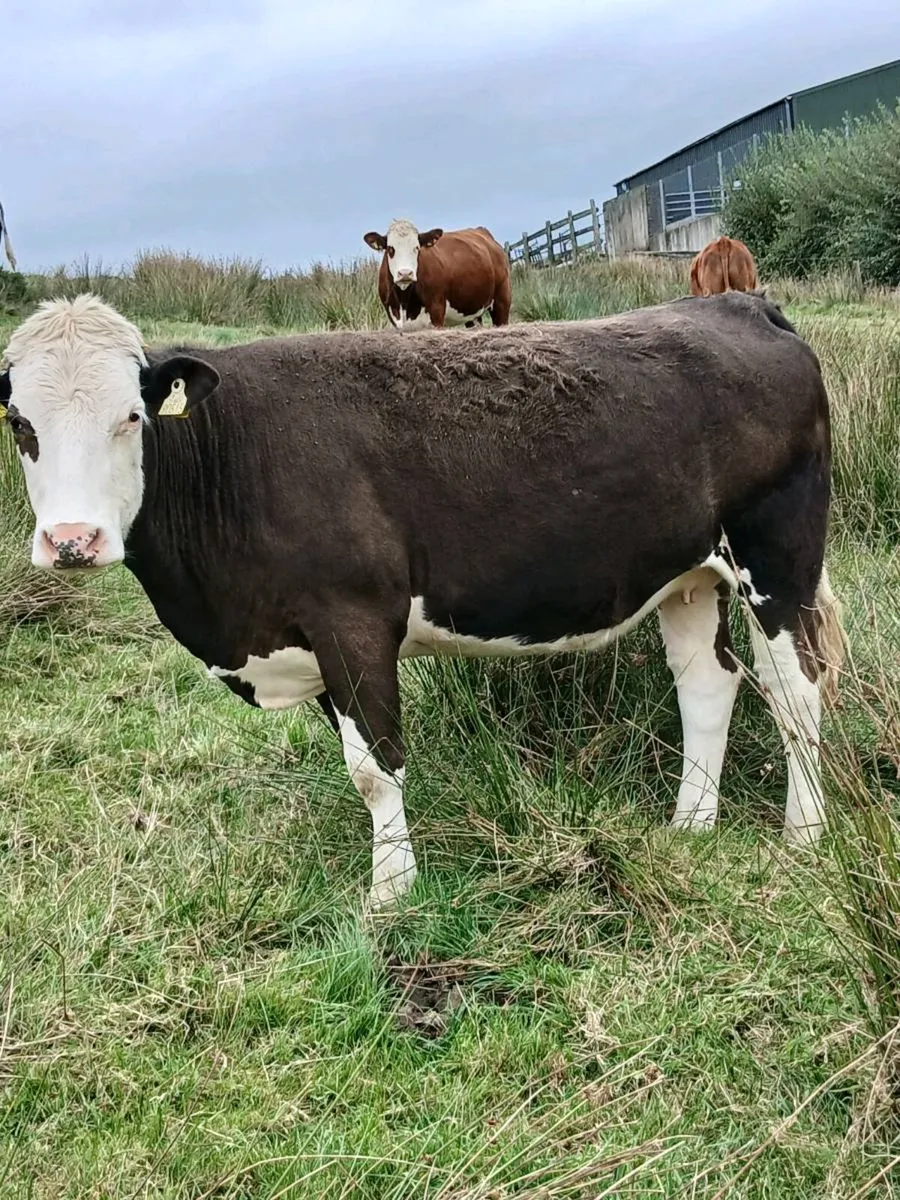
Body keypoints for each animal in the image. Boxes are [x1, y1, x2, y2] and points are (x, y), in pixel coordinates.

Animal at [0, 292, 844, 908]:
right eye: (18, 423)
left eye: (131, 416)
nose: (73, 540)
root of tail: (738, 302)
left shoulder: (352, 619)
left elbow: (376, 769)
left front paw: (391, 894)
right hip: (688, 574)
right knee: (707, 684)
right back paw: (690, 824)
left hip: (777, 552)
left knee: (796, 688)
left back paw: (803, 835)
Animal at [363, 218, 512, 331]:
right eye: (390, 249)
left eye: (417, 248)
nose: (405, 273)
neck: (404, 301)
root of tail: (482, 231)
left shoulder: (437, 312)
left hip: (502, 301)